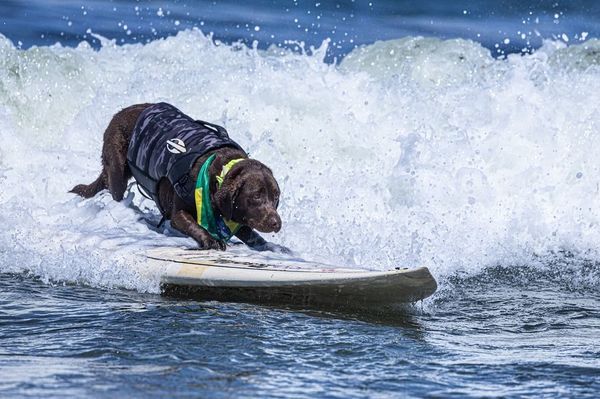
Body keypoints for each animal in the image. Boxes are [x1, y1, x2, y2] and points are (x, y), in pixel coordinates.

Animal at [70, 104, 286, 253]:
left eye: (275, 197)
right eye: (256, 196)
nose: (276, 223)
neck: (217, 174)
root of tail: (119, 113)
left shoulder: (234, 214)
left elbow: (250, 234)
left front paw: (272, 246)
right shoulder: (179, 212)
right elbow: (192, 225)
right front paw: (211, 240)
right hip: (117, 167)